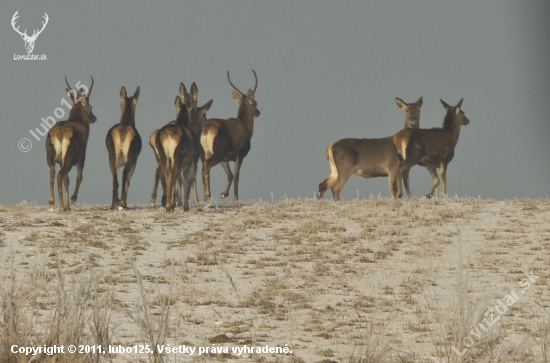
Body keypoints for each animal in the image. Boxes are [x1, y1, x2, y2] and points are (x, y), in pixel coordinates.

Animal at [47, 76, 96, 213]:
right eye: (90, 106)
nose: (94, 118)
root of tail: (59, 134)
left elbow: (67, 180)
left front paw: (68, 205)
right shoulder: (81, 157)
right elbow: (79, 177)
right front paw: (72, 200)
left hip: (50, 157)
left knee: (53, 174)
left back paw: (52, 204)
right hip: (69, 156)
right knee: (60, 175)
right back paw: (61, 207)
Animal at [203, 69, 260, 203]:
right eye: (255, 103)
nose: (258, 112)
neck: (244, 126)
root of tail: (208, 129)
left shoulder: (225, 159)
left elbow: (230, 175)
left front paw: (224, 194)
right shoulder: (240, 155)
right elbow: (236, 176)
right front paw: (236, 199)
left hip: (207, 152)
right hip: (217, 153)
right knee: (207, 165)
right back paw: (207, 195)